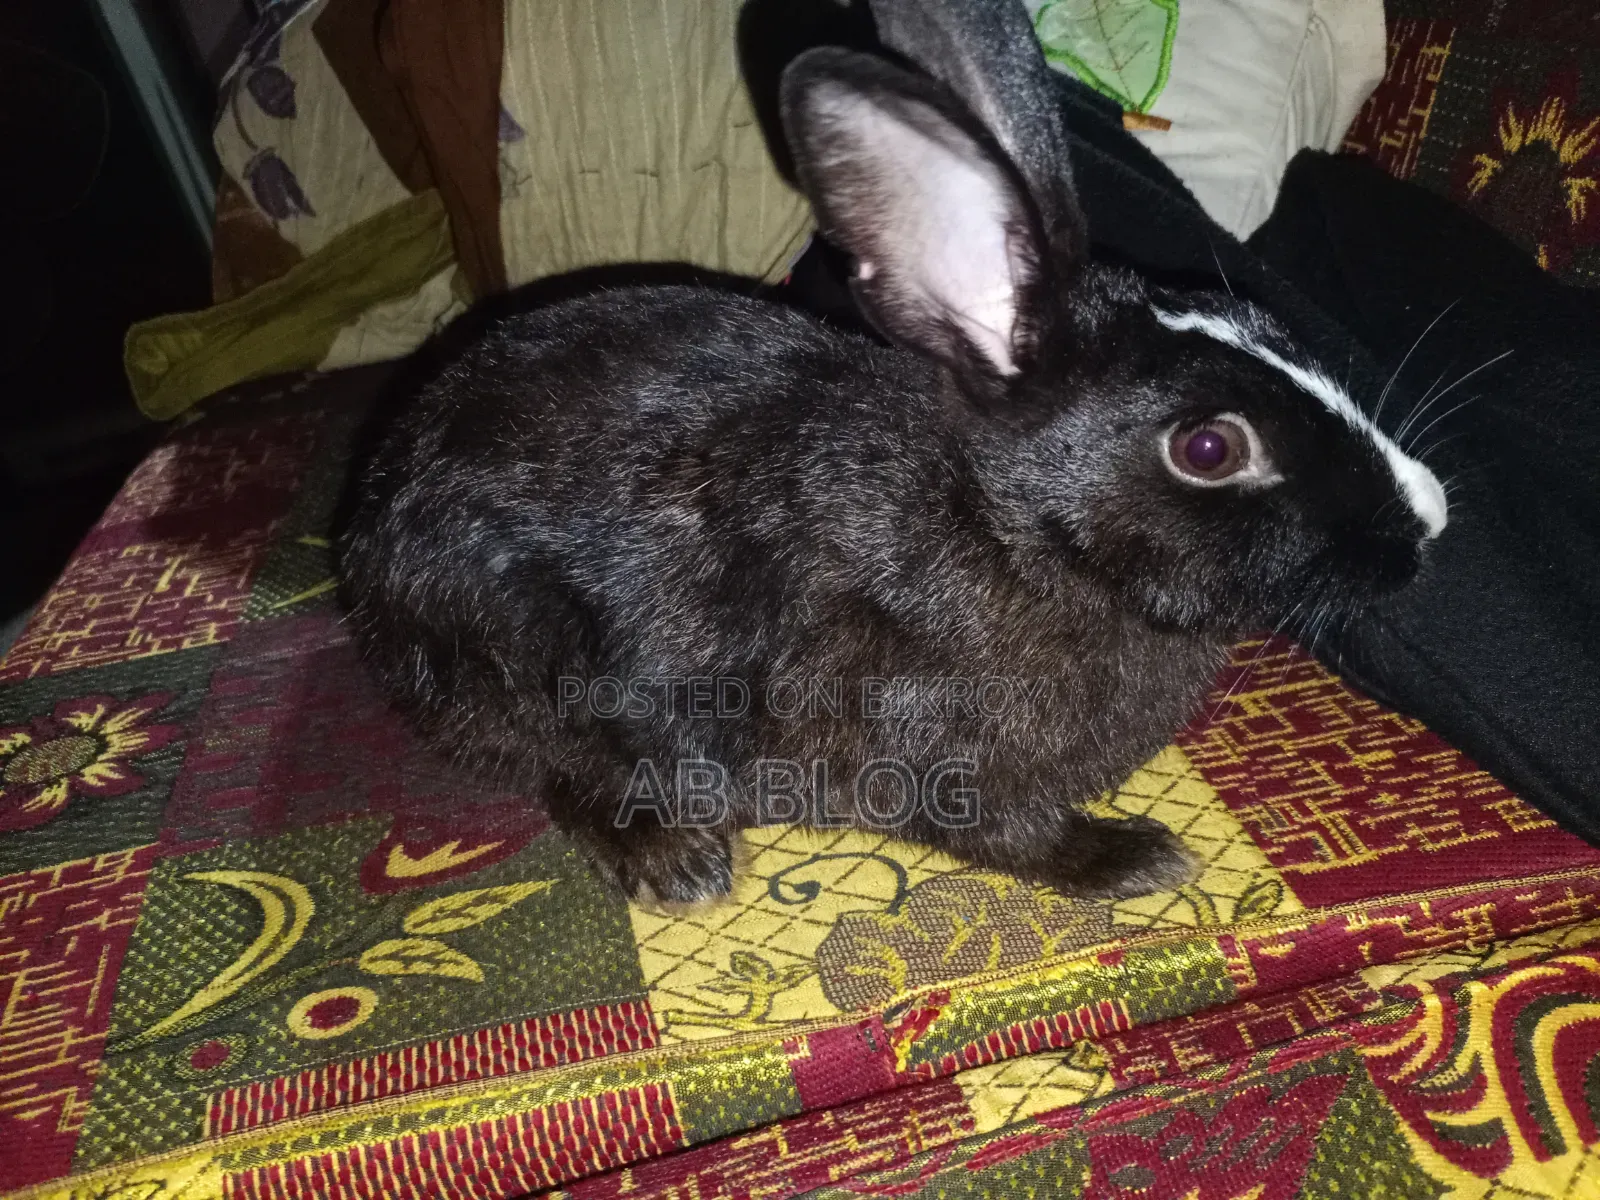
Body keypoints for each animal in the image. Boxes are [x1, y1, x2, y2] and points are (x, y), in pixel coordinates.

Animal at [338, 0, 1448, 905]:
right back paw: (677, 864)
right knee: (557, 770)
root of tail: (368, 529)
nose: (1429, 520)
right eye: (1210, 446)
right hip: (520, 663)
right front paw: (1135, 860)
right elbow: (1008, 835)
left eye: (1257, 316)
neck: (1010, 531)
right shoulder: (937, 761)